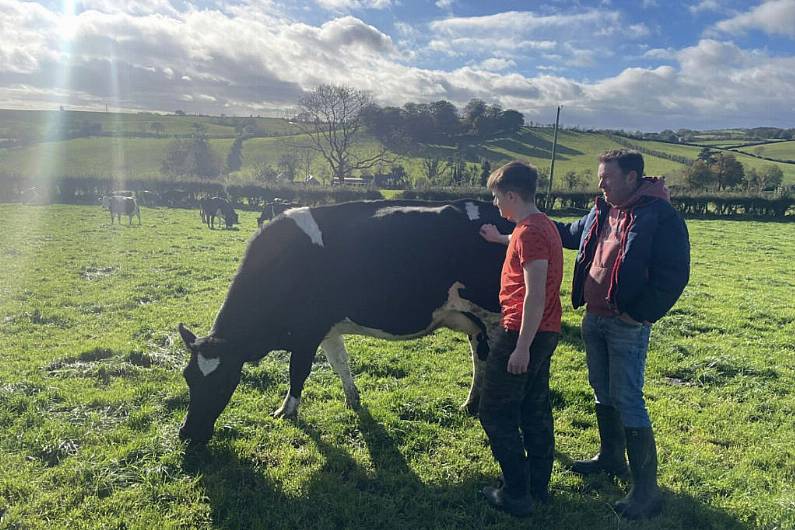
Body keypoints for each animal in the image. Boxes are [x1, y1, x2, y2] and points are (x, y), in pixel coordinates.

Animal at [179, 198, 516, 442]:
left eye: (224, 382)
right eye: (187, 377)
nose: (187, 434)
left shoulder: (307, 333)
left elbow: (297, 373)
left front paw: (286, 411)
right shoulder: (326, 328)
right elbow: (340, 363)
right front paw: (353, 400)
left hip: (496, 316)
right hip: (474, 321)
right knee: (480, 357)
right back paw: (470, 404)